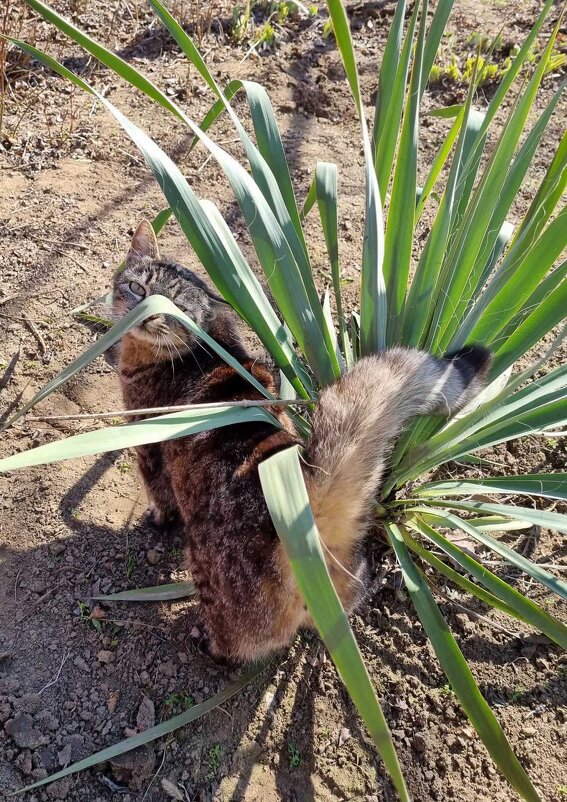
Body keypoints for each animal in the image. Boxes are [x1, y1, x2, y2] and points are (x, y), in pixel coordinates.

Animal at [112, 220, 492, 664]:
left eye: (175, 311)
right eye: (137, 288)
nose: (147, 315)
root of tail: (302, 500)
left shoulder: (147, 443)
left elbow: (159, 495)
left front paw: (155, 519)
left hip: (213, 582)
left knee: (237, 644)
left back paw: (207, 644)